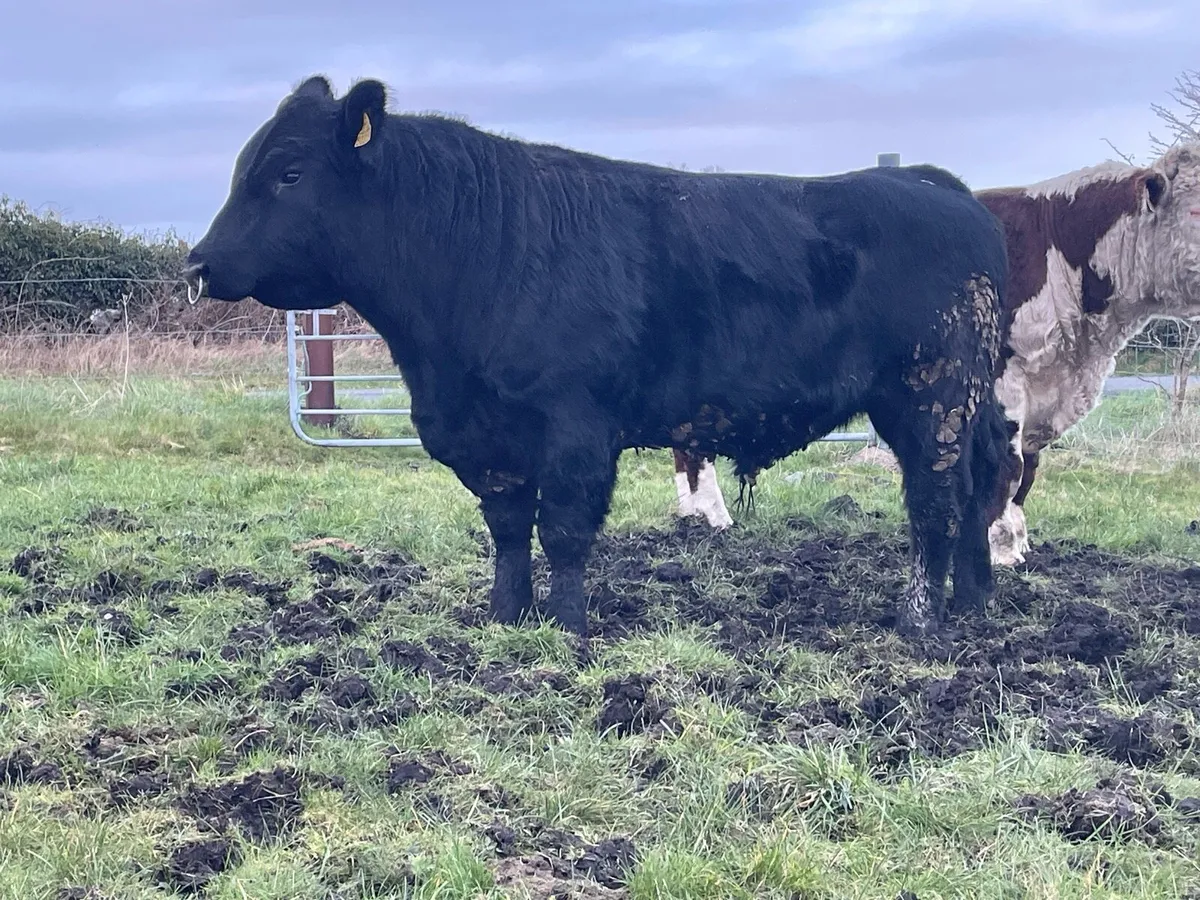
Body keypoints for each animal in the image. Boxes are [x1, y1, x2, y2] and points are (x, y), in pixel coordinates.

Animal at [182, 74, 1014, 640]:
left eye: (289, 174)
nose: (198, 264)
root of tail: (931, 184)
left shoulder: (576, 425)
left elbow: (565, 528)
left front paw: (569, 627)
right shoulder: (488, 436)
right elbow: (507, 529)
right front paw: (505, 615)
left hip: (930, 390)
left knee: (934, 500)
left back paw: (920, 621)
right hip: (967, 396)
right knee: (984, 475)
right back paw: (974, 600)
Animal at [671, 143, 1200, 567]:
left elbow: (1027, 472)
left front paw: (1020, 543)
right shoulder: (1003, 380)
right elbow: (1007, 469)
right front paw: (1000, 548)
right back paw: (710, 517)